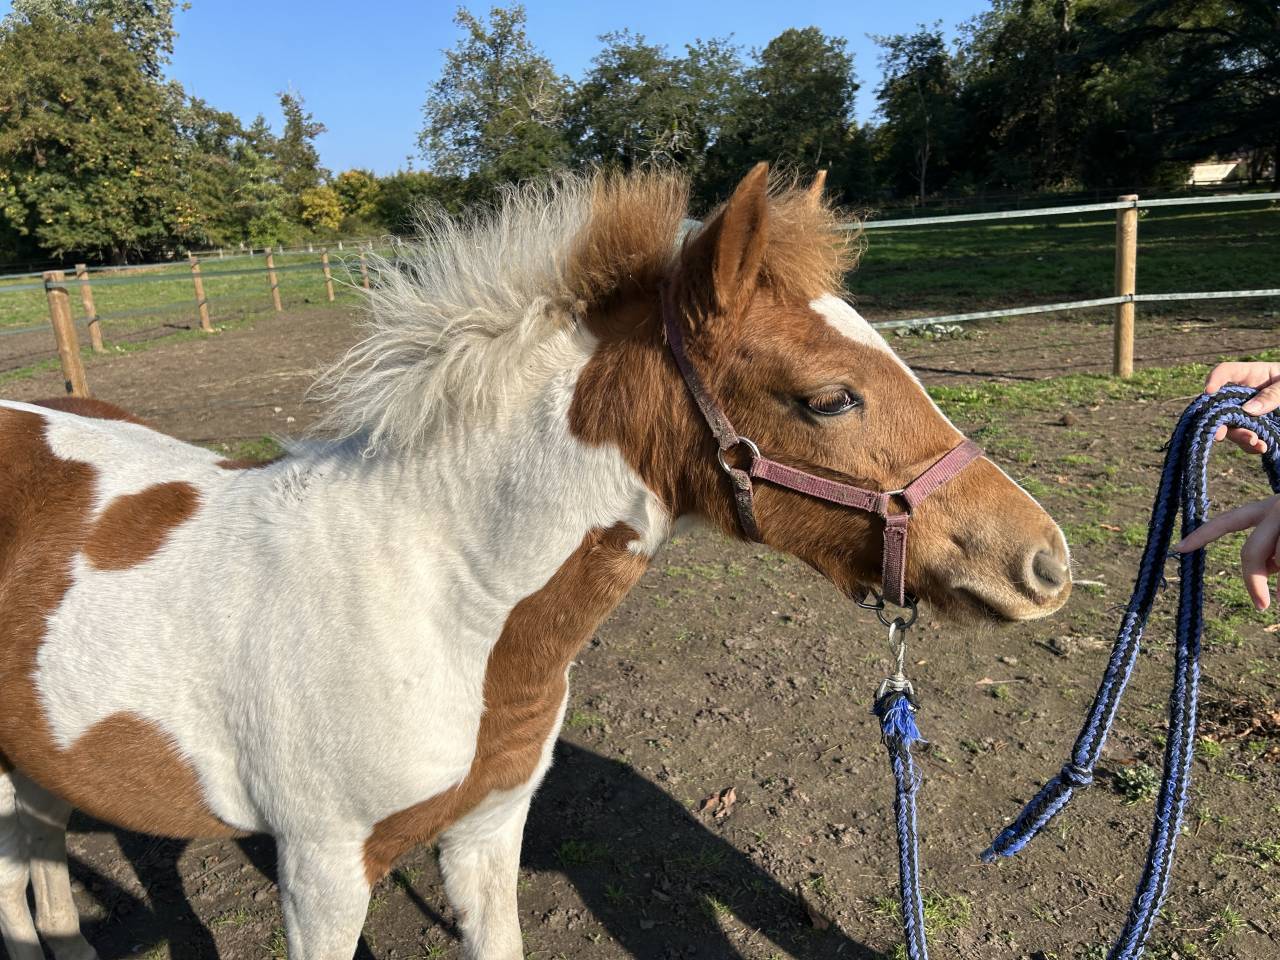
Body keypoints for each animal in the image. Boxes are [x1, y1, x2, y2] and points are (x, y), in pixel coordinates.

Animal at [0, 163, 1071, 960]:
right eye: (831, 397)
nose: (1044, 563)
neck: (436, 606)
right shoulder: (320, 873)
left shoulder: (488, 831)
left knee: (35, 836)